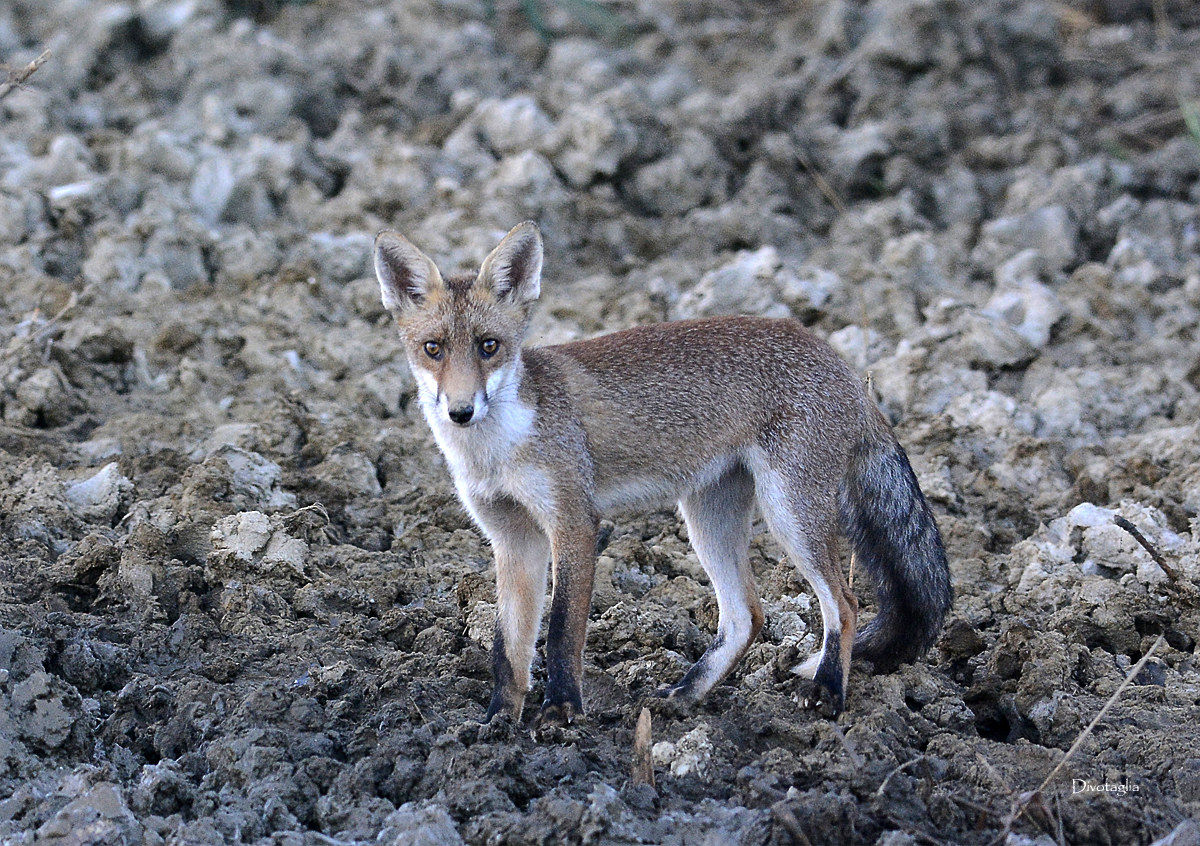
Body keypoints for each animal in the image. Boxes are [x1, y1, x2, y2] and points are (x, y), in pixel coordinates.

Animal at [372, 221, 952, 726]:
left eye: (488, 346)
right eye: (433, 349)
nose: (461, 411)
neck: (497, 450)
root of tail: (839, 358)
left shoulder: (574, 522)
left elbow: (560, 631)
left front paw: (561, 712)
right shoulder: (513, 539)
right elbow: (506, 647)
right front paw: (497, 722)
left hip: (790, 513)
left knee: (845, 604)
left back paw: (827, 689)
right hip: (706, 519)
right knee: (748, 615)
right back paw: (687, 695)